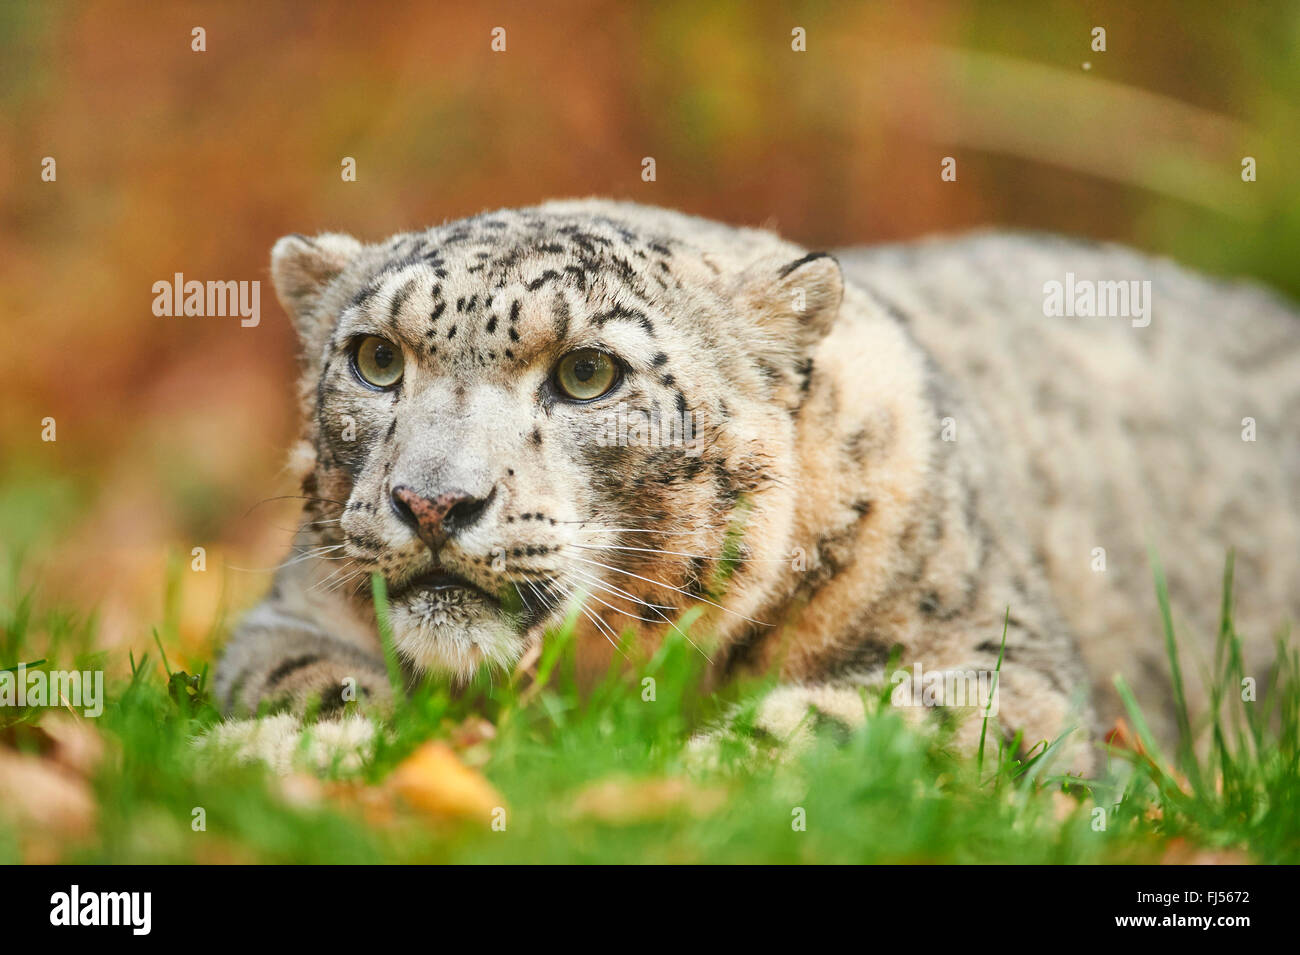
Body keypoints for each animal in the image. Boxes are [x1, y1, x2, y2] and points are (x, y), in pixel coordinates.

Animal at [212, 198, 1300, 776]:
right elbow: (285, 674)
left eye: (587, 373)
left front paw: (696, 769)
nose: (433, 502)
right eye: (375, 359)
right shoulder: (291, 607)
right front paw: (340, 741)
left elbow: (872, 719)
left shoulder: (1004, 665)